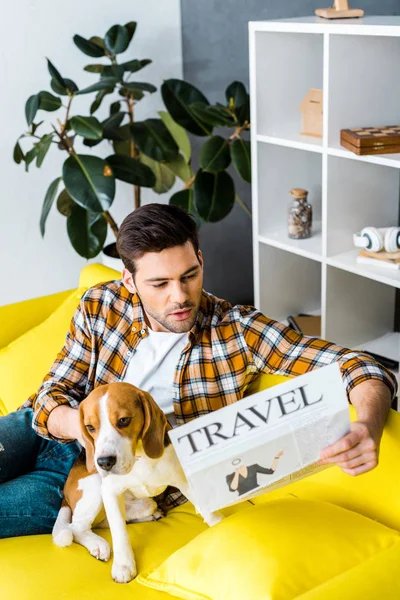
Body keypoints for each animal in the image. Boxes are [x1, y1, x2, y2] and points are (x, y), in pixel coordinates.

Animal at [51, 382, 222, 584]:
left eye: (124, 420)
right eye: (90, 427)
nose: (104, 462)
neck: (139, 458)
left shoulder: (183, 479)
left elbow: (206, 509)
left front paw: (220, 526)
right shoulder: (109, 491)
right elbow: (119, 531)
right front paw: (123, 566)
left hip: (146, 503)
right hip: (94, 486)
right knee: (76, 527)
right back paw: (98, 544)